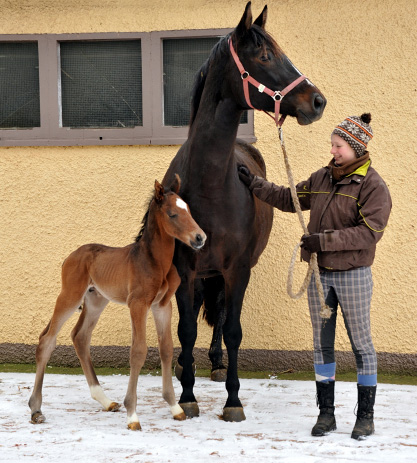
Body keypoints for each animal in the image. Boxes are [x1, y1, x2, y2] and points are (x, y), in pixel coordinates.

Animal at [28, 175, 206, 432]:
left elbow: (166, 348)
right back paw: (36, 410)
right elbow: (138, 351)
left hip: (95, 300)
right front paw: (133, 415)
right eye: (173, 214)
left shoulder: (162, 306)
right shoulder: (138, 304)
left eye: (189, 211)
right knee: (47, 341)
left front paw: (175, 408)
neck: (155, 261)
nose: (200, 238)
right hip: (70, 296)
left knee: (80, 337)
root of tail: (69, 257)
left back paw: (105, 401)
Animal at [161, 2, 326, 424]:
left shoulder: (238, 269)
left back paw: (218, 365)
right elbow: (186, 329)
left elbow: (233, 329)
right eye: (264, 54)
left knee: (220, 315)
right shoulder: (186, 269)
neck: (210, 186)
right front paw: (187, 394)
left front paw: (233, 401)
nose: (317, 101)